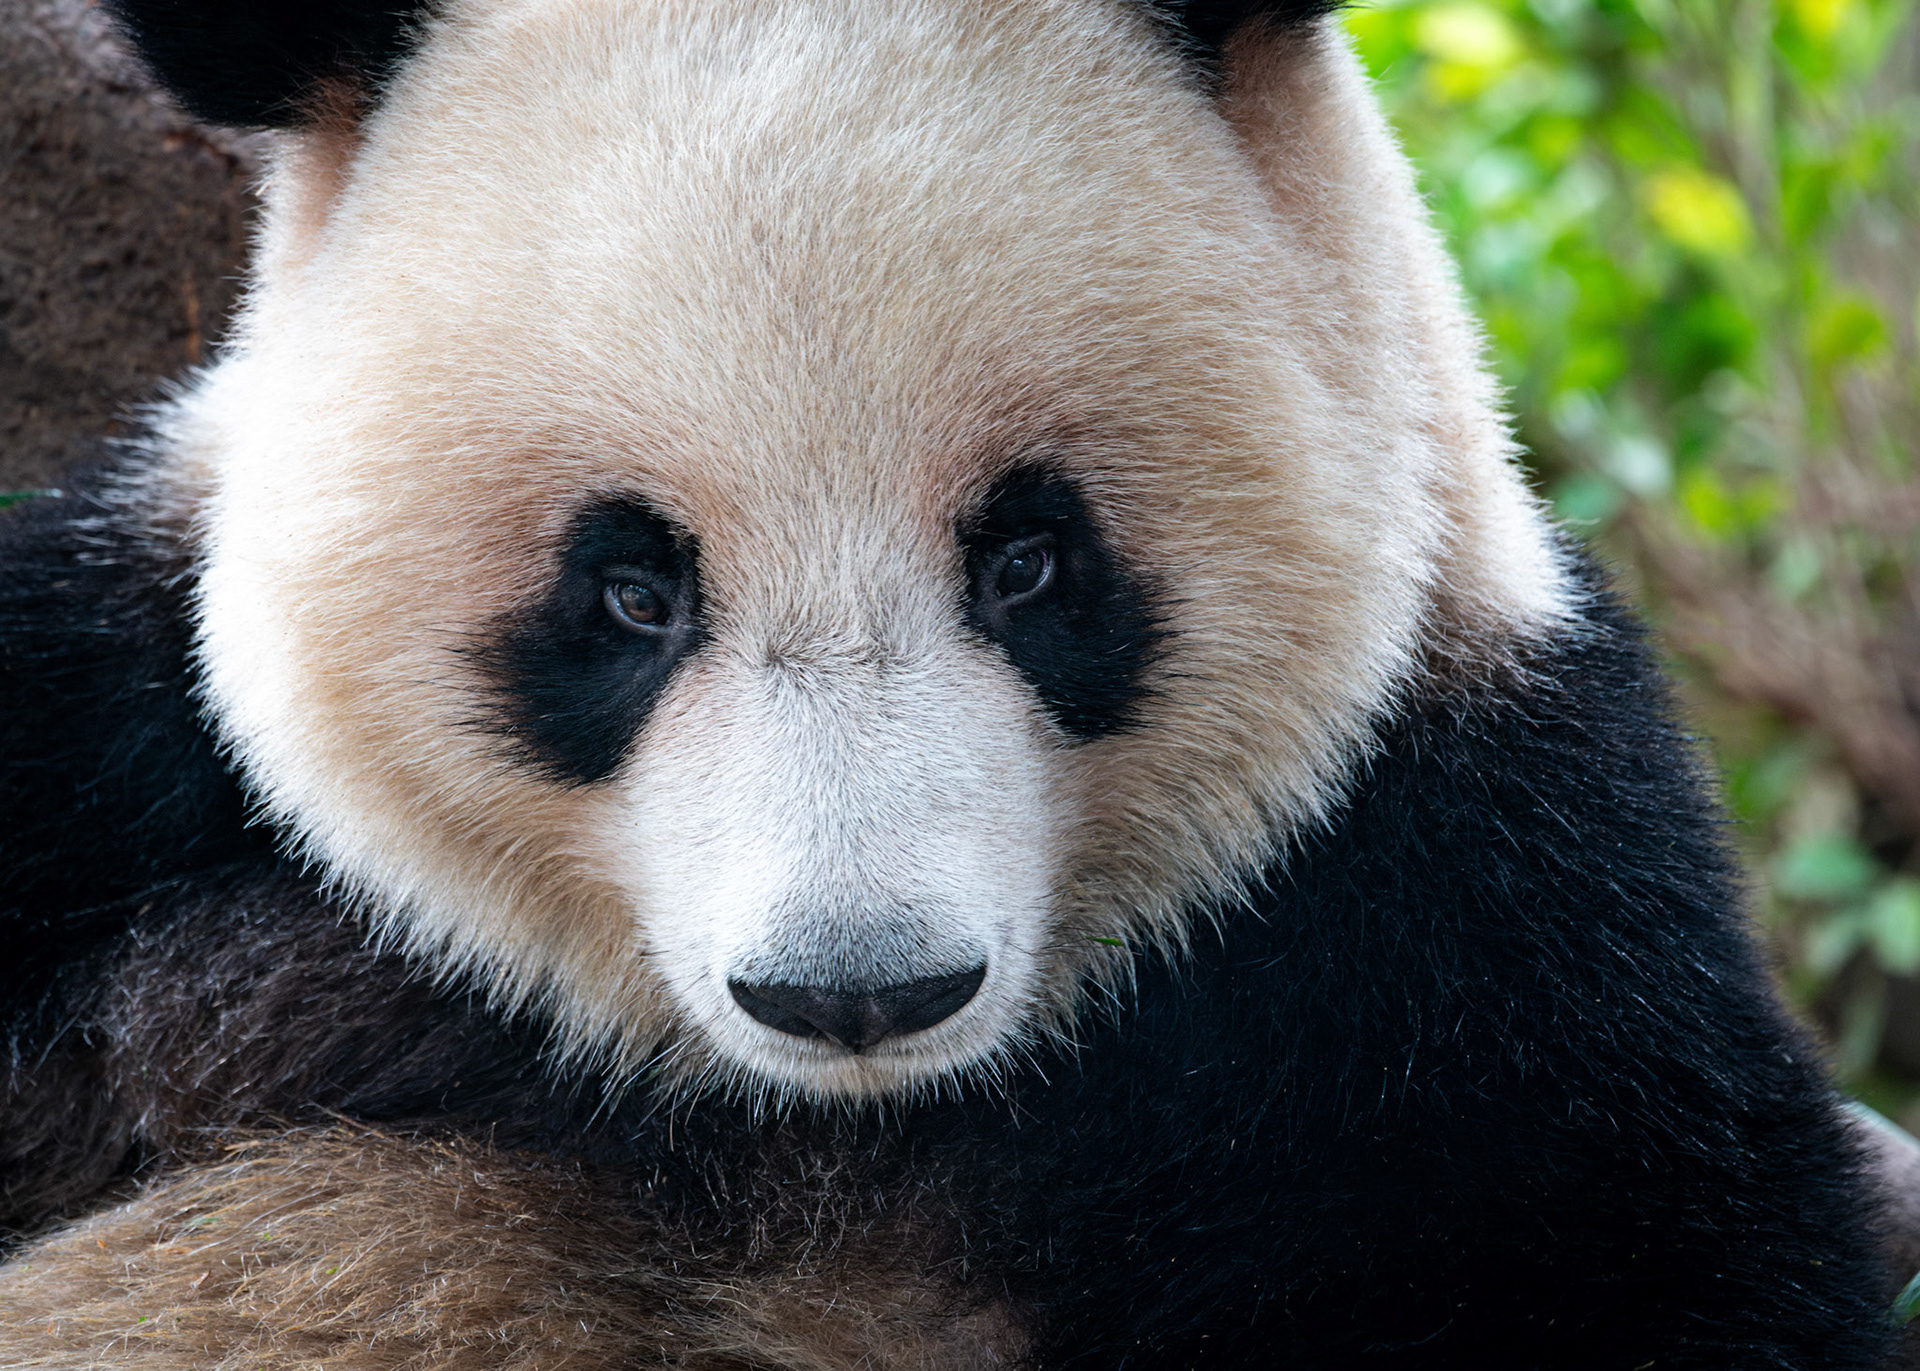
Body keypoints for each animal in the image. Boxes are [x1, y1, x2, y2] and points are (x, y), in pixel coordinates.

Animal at [0, 0, 1905, 1365]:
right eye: (628, 590)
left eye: (1031, 561)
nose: (858, 988)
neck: (831, 1123)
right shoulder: (115, 746)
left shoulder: (1461, 926)